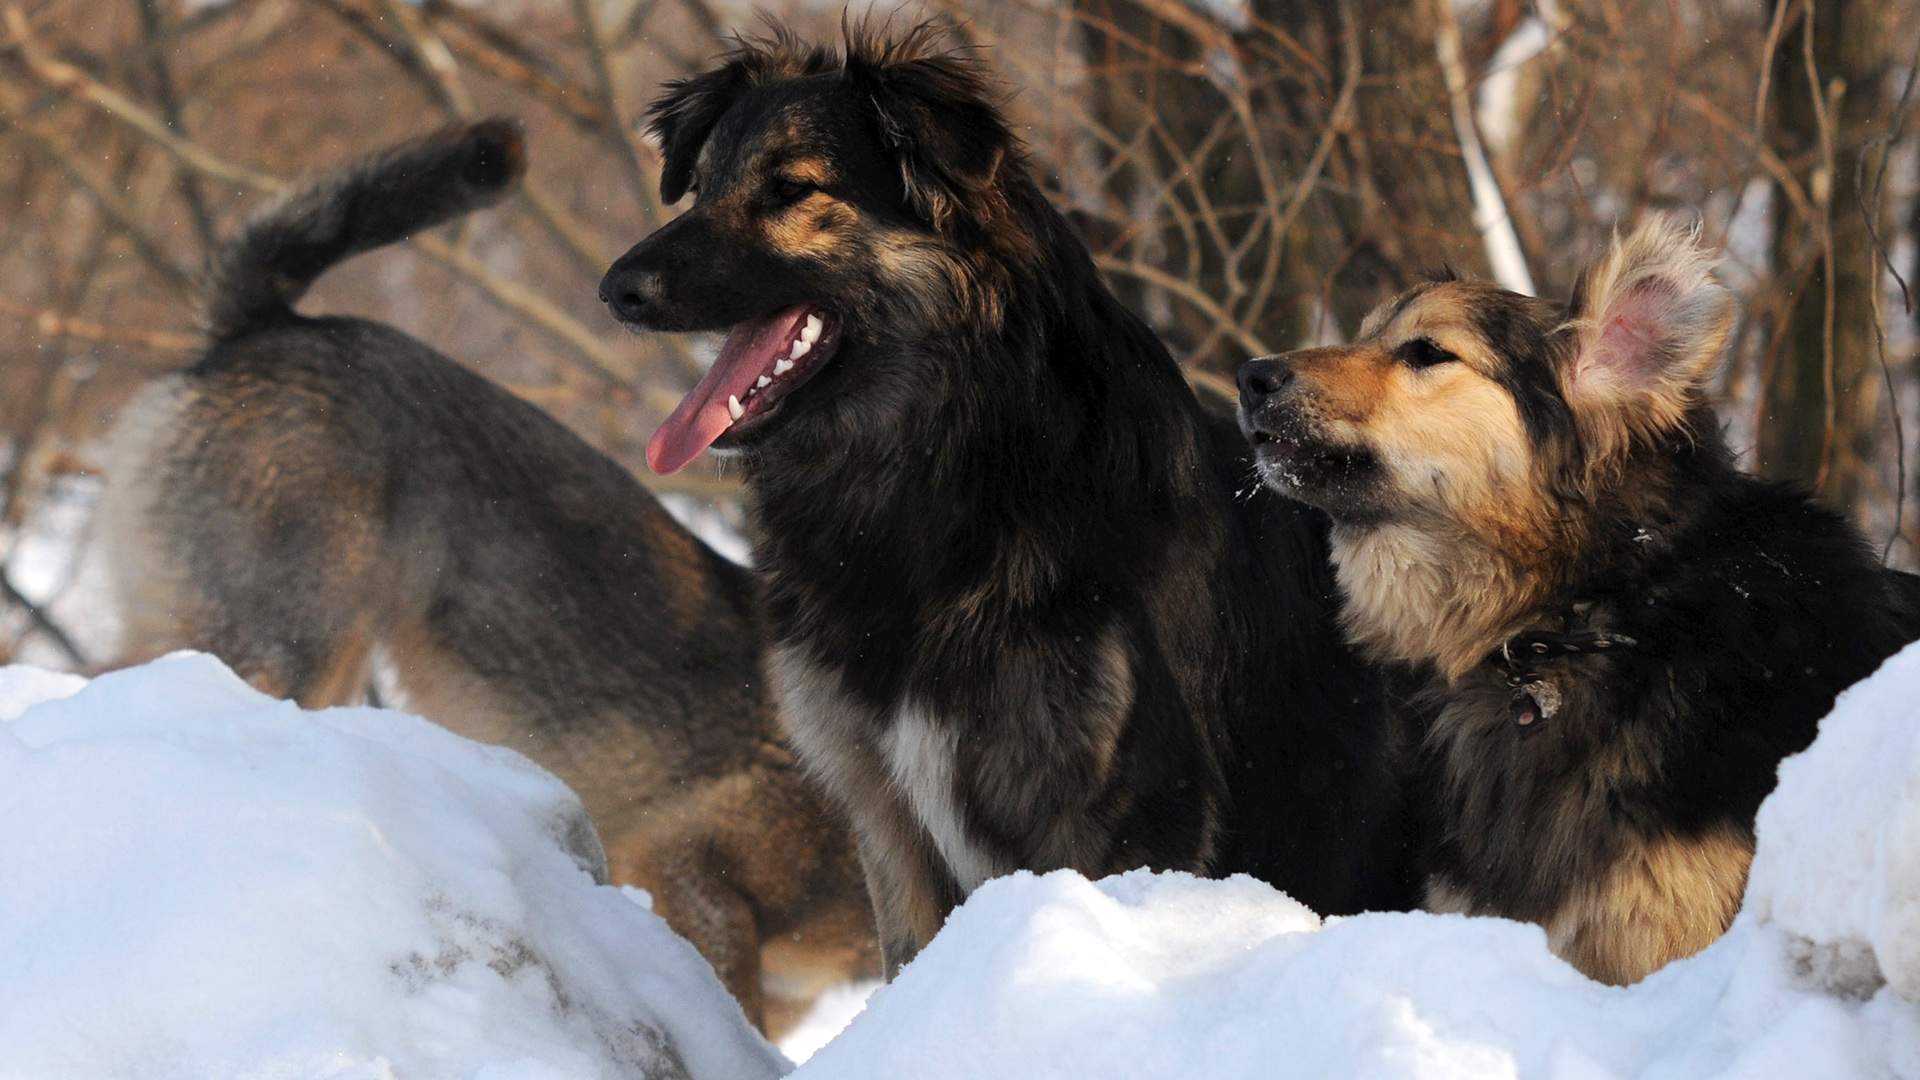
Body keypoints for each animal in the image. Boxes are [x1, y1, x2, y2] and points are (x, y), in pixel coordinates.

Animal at [595, 21, 1413, 972]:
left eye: (791, 188)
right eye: (701, 187)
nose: (614, 290)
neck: (949, 466)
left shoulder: (1122, 819)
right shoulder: (890, 819)